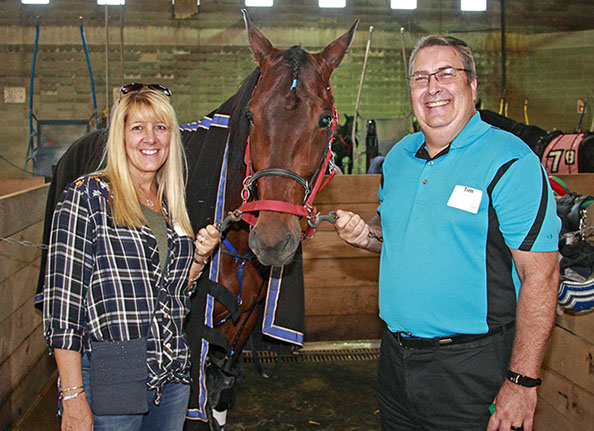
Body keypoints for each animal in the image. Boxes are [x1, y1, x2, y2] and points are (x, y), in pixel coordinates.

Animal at [35, 12, 358, 431]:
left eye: (323, 119)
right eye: (251, 115)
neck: (237, 244)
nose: (272, 241)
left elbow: (220, 391)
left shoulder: (238, 326)